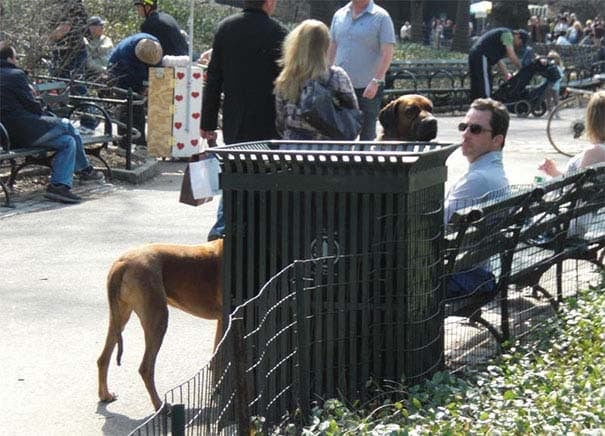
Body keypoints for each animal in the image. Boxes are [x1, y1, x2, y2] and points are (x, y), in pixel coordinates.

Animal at [98, 237, 223, 410]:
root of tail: (122, 263)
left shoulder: (222, 320)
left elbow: (217, 356)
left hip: (119, 317)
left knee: (103, 358)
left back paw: (105, 395)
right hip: (158, 317)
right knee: (145, 368)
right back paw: (159, 405)